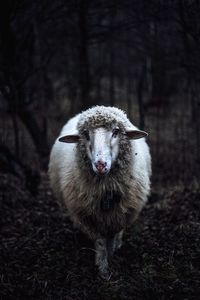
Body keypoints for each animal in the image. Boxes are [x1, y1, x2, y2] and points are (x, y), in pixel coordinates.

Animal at [48, 105, 152, 278]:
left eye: (116, 131)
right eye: (85, 134)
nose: (100, 165)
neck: (105, 189)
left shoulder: (120, 214)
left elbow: (113, 237)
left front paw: (112, 256)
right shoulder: (90, 218)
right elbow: (101, 242)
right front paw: (103, 269)